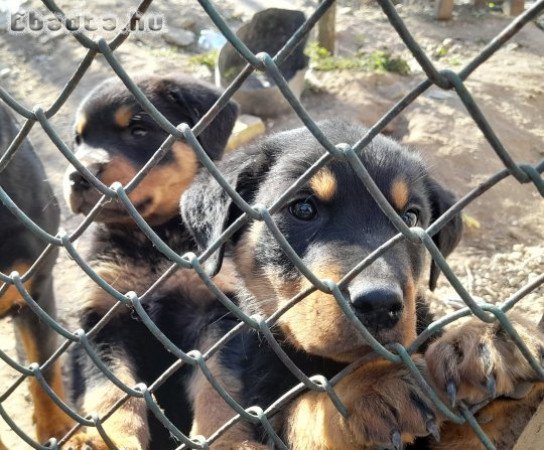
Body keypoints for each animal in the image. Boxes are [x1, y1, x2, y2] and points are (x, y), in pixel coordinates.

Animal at [61, 74, 238, 450]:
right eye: (78, 141)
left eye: (138, 130)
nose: (77, 175)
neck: (152, 242)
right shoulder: (103, 320)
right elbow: (112, 392)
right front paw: (109, 441)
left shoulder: (218, 312)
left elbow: (218, 388)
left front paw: (227, 441)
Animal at [182, 120, 544, 450]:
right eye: (303, 208)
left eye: (410, 217)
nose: (380, 305)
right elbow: (306, 411)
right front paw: (372, 387)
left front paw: (486, 337)